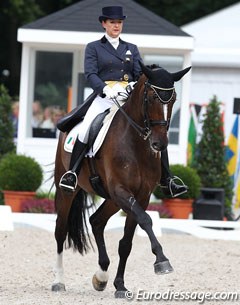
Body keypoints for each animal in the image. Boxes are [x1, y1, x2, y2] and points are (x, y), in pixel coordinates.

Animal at [53, 61, 191, 296]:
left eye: (172, 99)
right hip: (68, 191)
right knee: (61, 231)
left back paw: (101, 276)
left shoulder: (140, 196)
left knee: (96, 221)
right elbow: (145, 220)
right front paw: (162, 261)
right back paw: (59, 281)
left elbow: (126, 242)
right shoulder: (121, 190)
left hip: (112, 199)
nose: (159, 144)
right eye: (151, 97)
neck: (136, 144)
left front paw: (120, 285)